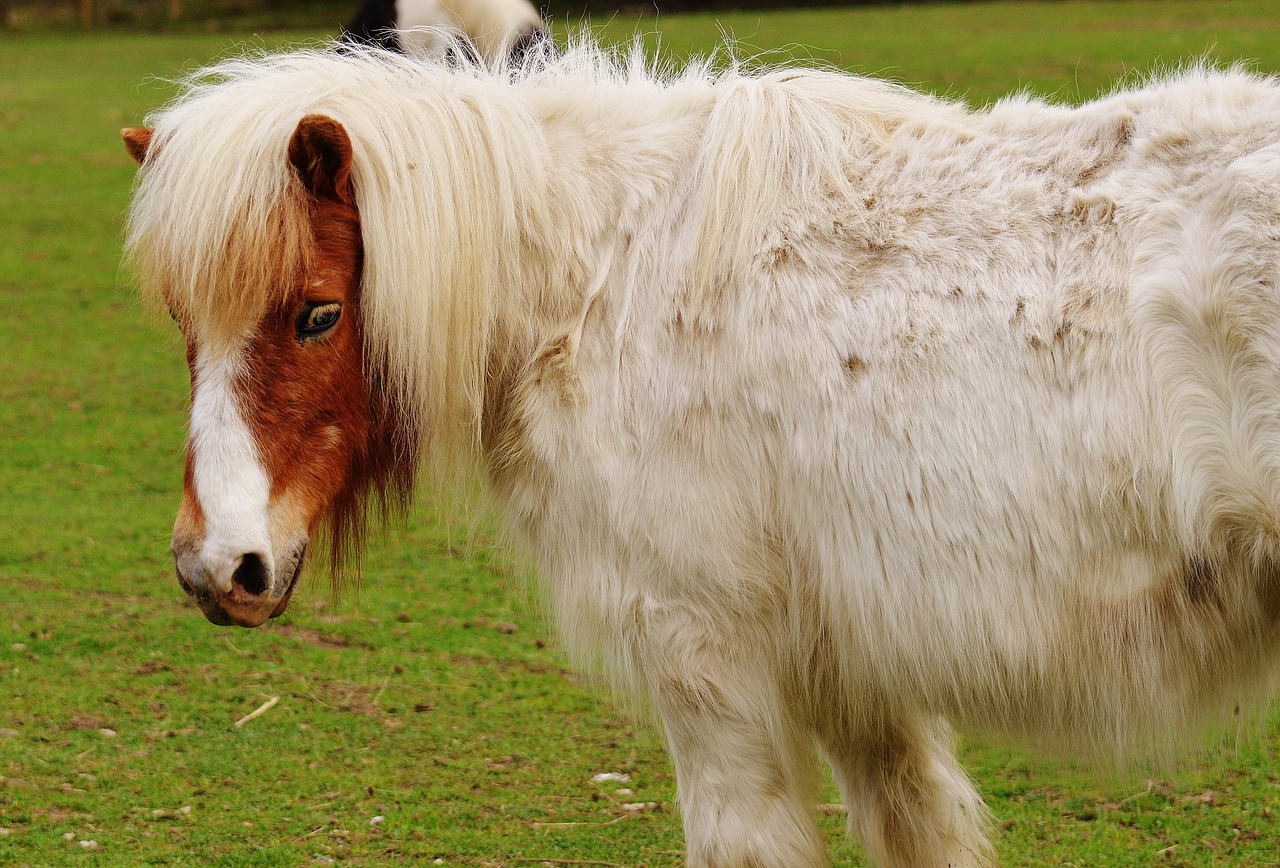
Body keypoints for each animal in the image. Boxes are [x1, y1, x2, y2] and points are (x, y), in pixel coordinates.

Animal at [122, 42, 1280, 868]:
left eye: (317, 314)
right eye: (184, 321)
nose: (216, 567)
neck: (599, 285)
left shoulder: (704, 655)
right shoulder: (851, 674)